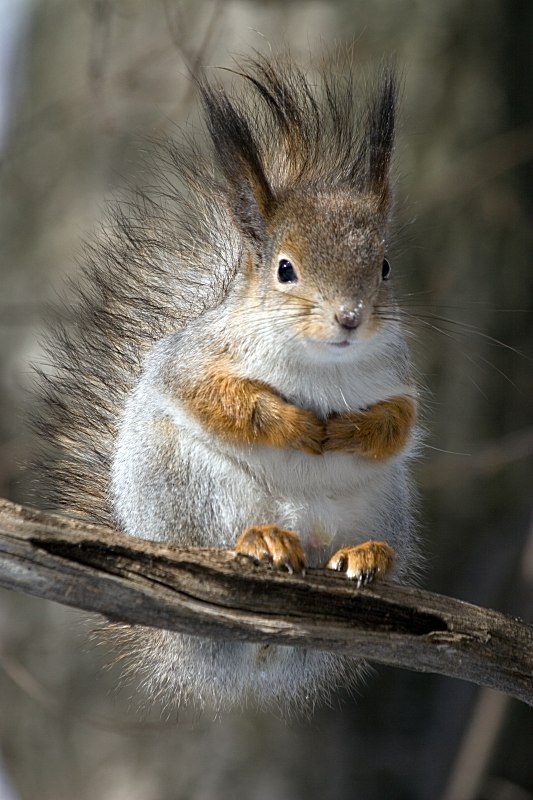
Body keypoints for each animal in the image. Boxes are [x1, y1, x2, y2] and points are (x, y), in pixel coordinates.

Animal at [36, 53, 420, 708]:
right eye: (285, 269)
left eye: (386, 266)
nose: (350, 317)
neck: (322, 364)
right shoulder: (192, 360)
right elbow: (221, 400)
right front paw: (295, 425)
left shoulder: (398, 374)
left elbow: (399, 421)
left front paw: (352, 432)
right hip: (189, 486)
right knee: (217, 536)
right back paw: (260, 541)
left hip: (381, 499)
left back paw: (365, 554)